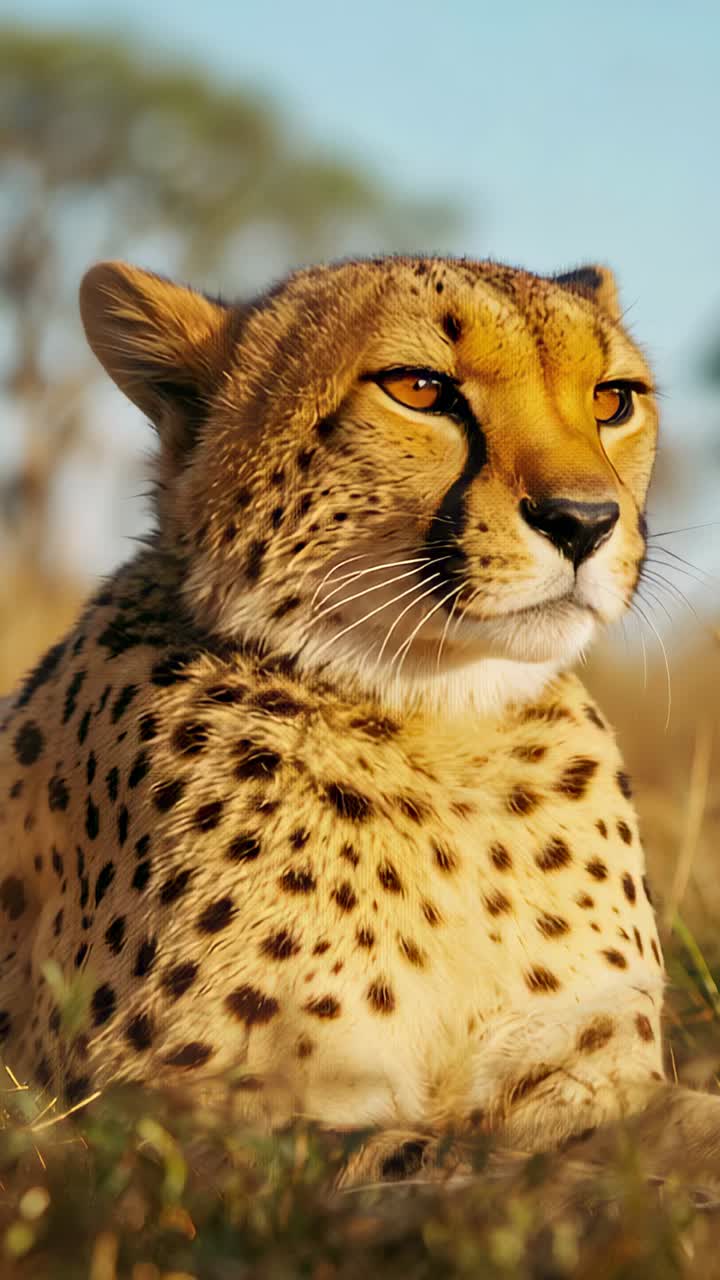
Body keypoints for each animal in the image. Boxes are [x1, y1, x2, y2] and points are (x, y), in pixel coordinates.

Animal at [2, 253, 720, 1192]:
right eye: (418, 388)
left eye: (611, 399)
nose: (585, 521)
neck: (447, 724)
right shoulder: (160, 1119)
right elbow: (470, 1165)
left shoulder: (577, 1066)